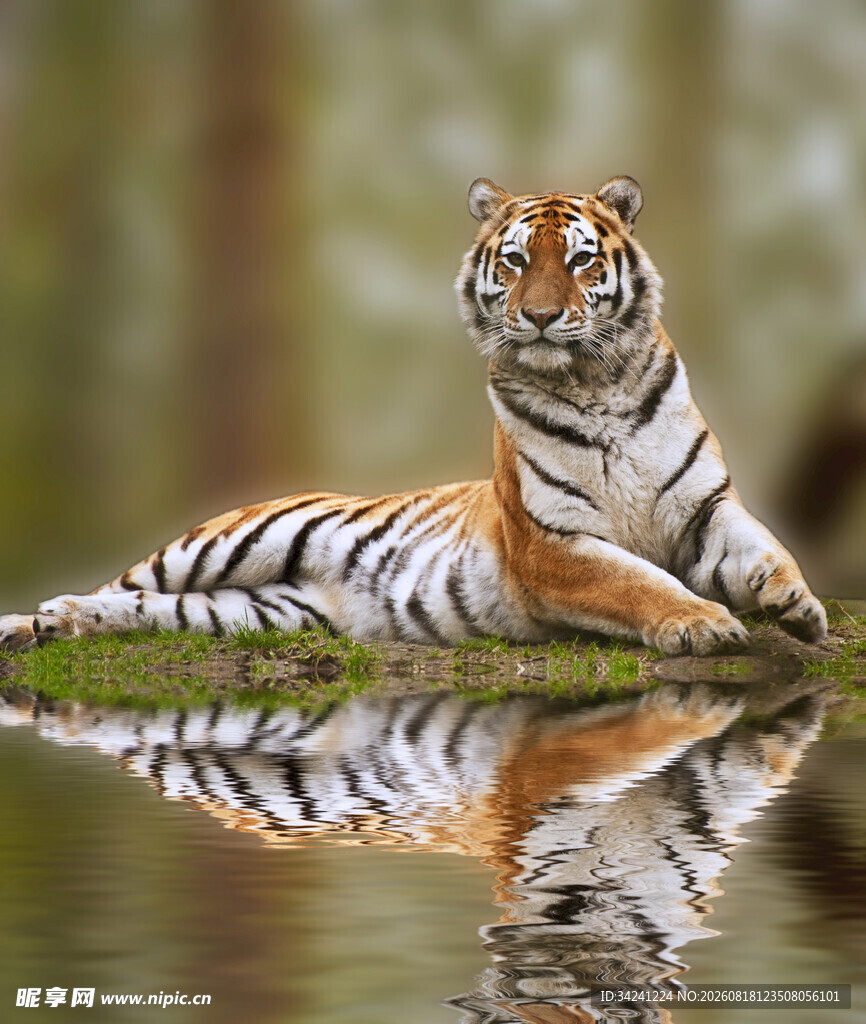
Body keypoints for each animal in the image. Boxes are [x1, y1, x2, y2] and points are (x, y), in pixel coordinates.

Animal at [0, 175, 827, 655]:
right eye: (517, 261)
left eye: (582, 259)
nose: (540, 317)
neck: (599, 381)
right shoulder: (549, 543)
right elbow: (637, 582)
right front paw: (704, 622)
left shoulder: (706, 509)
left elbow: (766, 545)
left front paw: (794, 603)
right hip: (219, 544)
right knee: (118, 583)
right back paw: (27, 623)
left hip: (251, 608)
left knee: (142, 608)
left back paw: (57, 626)